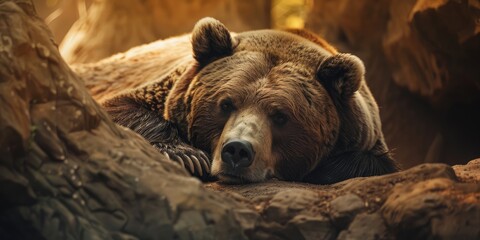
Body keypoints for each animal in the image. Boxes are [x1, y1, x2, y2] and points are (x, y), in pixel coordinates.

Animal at [100, 17, 398, 185]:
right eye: (226, 104)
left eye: (281, 116)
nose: (237, 151)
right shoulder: (163, 88)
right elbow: (121, 108)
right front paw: (188, 156)